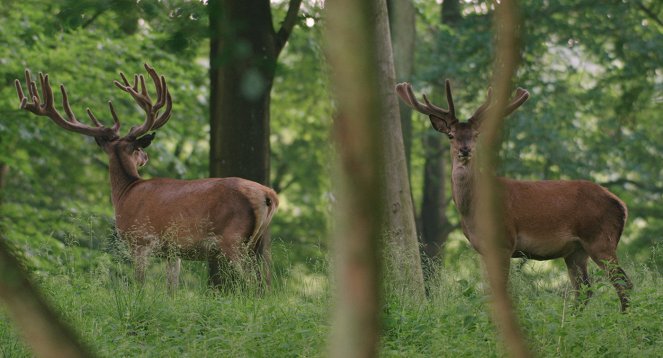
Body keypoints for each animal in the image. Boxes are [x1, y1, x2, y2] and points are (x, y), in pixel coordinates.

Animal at [14, 63, 280, 290]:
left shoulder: (139, 240)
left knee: (252, 285)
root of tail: (268, 195)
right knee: (264, 283)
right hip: (258, 243)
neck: (125, 193)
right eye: (139, 150)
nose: (146, 156)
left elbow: (139, 285)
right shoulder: (173, 251)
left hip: (233, 239)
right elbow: (171, 289)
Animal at [396, 80, 636, 310]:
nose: (465, 150)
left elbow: (501, 292)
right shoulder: (484, 249)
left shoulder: (504, 241)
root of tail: (622, 206)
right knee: (585, 290)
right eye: (451, 135)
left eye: (475, 135)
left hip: (600, 239)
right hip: (576, 251)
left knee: (624, 283)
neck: (472, 210)